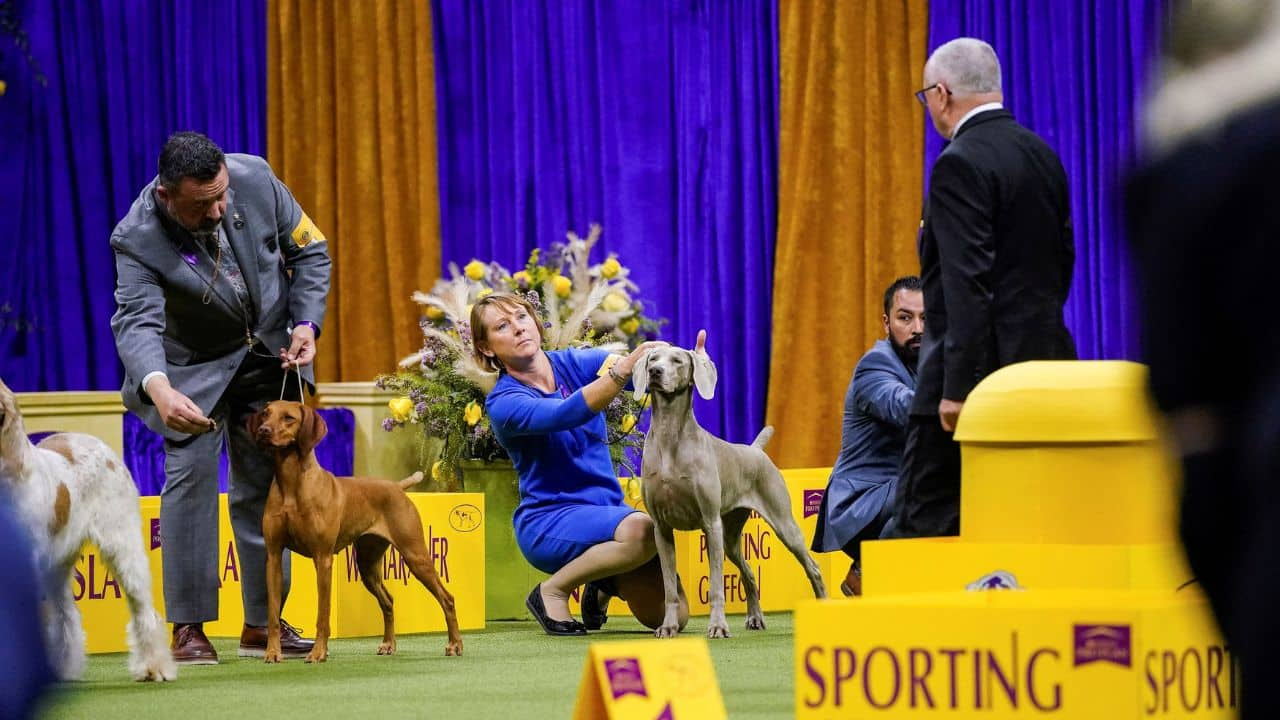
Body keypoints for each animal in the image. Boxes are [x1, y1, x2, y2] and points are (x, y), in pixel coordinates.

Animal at [0, 376, 175, 676]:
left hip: (123, 547)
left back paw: (154, 666)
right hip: (58, 568)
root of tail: (98, 445)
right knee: (67, 615)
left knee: (143, 609)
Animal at [247, 397, 463, 661]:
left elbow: (323, 613)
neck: (291, 483)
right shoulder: (274, 556)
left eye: (288, 418)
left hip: (416, 556)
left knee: (447, 598)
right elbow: (272, 613)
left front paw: (318, 653)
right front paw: (272, 653)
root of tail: (397, 486)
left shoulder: (322, 558)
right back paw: (388, 644)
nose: (263, 431)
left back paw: (455, 644)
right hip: (367, 564)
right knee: (388, 601)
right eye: (266, 414)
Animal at [632, 333, 829, 635]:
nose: (655, 372)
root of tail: (756, 450)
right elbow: (669, 589)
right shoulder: (661, 528)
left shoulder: (710, 522)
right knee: (749, 574)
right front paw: (668, 627)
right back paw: (755, 618)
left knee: (813, 567)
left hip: (782, 523)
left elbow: (715, 586)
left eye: (677, 360)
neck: (669, 435)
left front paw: (717, 626)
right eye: (653, 358)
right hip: (731, 537)